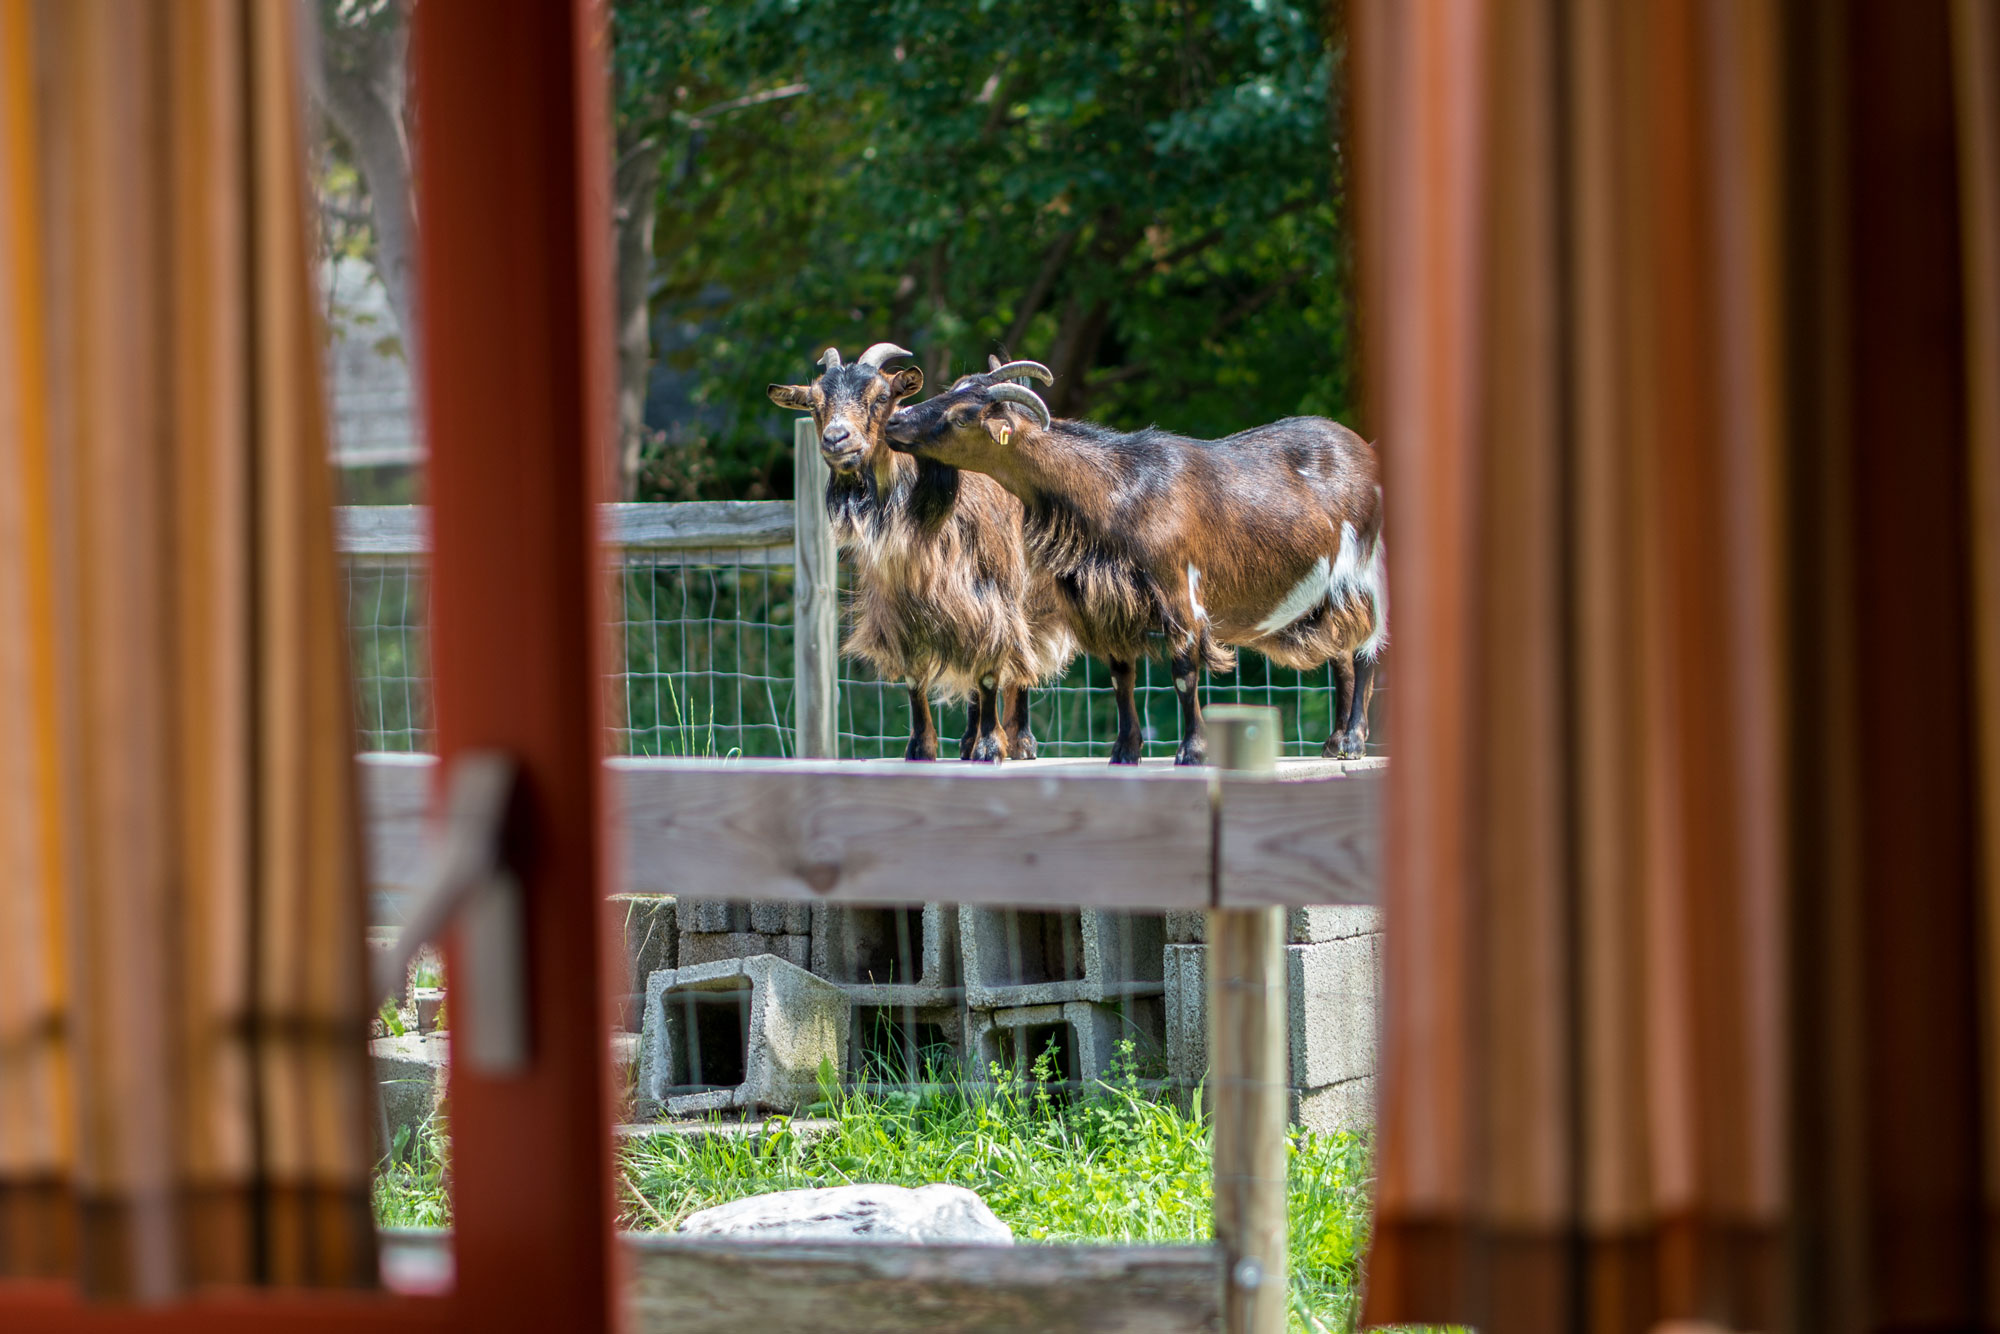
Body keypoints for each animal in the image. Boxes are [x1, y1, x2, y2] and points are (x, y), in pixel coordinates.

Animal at [767, 345, 1073, 762]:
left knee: (1022, 661)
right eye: (814, 404)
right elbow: (915, 676)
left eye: (882, 396)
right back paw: (966, 742)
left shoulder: (991, 596)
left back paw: (1020, 741)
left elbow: (991, 671)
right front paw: (921, 748)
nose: (836, 439)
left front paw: (991, 747)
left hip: (1033, 594)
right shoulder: (899, 608)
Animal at [884, 364, 1384, 765]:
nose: (893, 421)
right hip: (1326, 595)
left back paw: (1354, 742)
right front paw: (1124, 753)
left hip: (1364, 571)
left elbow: (1183, 673)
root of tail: (1367, 454)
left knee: (1366, 651)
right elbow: (1121, 677)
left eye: (959, 417)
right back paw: (1333, 742)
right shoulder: (1110, 602)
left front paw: (1192, 753)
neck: (1118, 488)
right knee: (1341, 653)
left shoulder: (1177, 590)